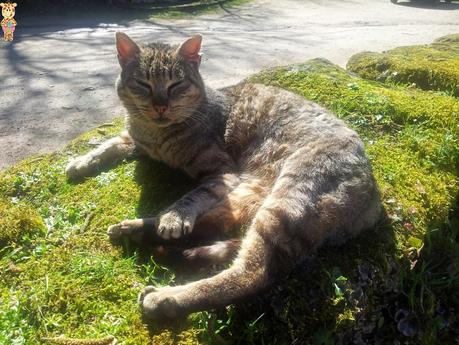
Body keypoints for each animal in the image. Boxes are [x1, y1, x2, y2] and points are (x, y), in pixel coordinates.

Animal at [66, 32, 382, 318]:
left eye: (176, 84)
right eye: (143, 84)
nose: (160, 106)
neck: (155, 135)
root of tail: (374, 202)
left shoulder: (222, 172)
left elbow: (191, 198)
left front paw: (174, 217)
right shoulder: (134, 139)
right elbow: (109, 144)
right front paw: (81, 161)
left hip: (287, 197)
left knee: (251, 273)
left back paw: (166, 297)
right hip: (253, 193)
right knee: (215, 224)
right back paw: (136, 230)